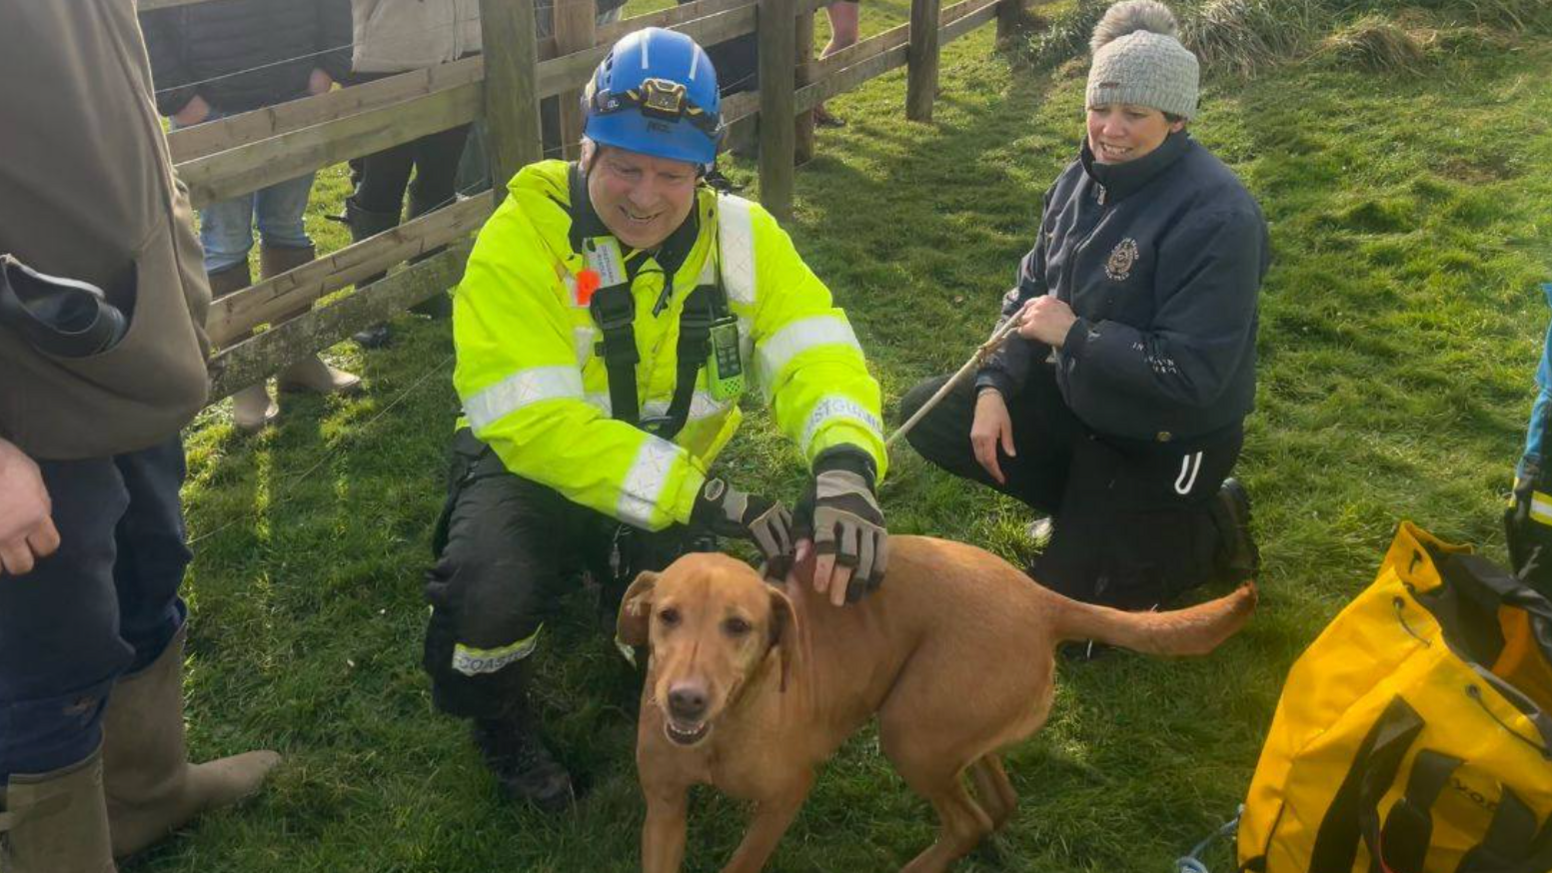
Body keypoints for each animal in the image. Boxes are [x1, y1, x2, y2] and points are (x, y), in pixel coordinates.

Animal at [611, 534, 1254, 863]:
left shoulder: (783, 800)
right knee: (997, 803)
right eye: (667, 616)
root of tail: (1042, 599)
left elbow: (742, 861)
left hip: (910, 735)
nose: (684, 701)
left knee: (968, 821)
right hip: (953, 728)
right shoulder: (663, 811)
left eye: (739, 626)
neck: (722, 731)